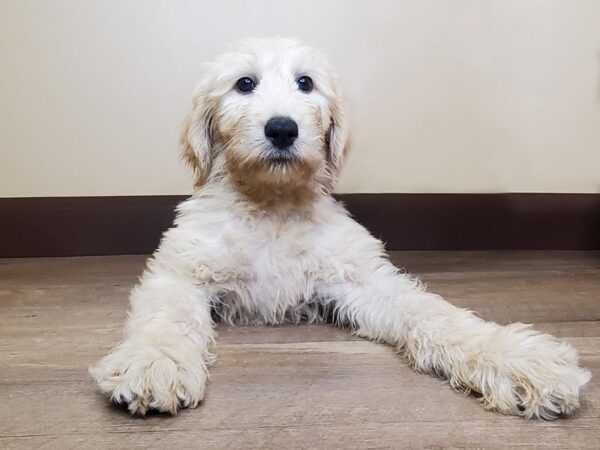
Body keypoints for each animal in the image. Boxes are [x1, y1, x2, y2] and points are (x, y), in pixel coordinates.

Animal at [90, 37, 592, 420]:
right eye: (244, 83)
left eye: (306, 82)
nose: (282, 129)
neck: (272, 206)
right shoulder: (181, 271)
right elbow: (167, 318)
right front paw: (154, 364)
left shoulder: (362, 279)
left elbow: (434, 313)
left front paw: (517, 358)